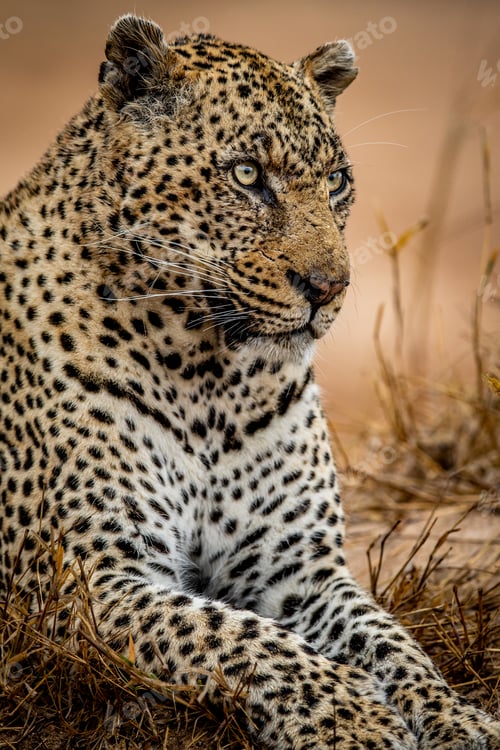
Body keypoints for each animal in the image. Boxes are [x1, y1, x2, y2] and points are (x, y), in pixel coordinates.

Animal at [0, 14, 498, 749]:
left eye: (337, 180)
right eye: (246, 175)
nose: (330, 287)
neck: (209, 377)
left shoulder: (298, 567)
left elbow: (393, 641)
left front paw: (456, 717)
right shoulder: (85, 580)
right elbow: (239, 636)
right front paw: (354, 720)